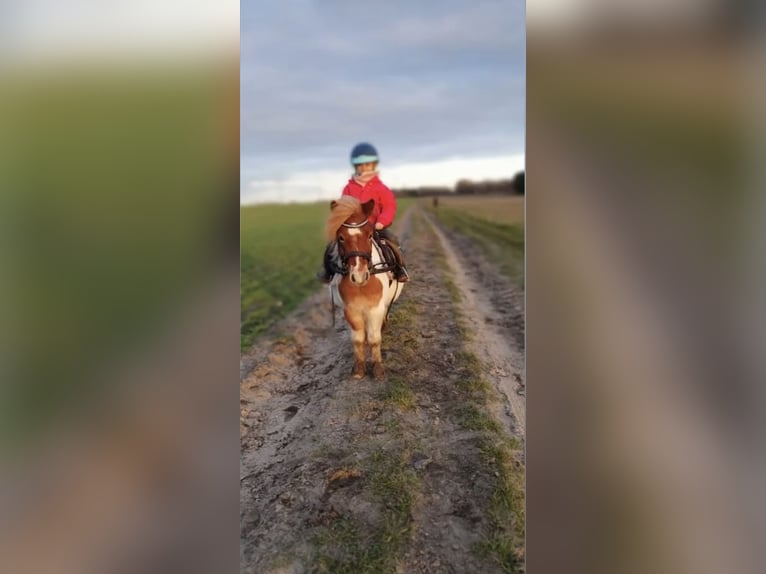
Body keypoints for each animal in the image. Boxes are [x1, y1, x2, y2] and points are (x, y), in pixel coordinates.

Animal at [326, 198, 404, 382]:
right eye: (341, 238)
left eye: (369, 235)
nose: (359, 275)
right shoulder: (351, 310)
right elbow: (358, 340)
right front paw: (359, 369)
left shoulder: (375, 309)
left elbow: (375, 339)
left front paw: (377, 369)